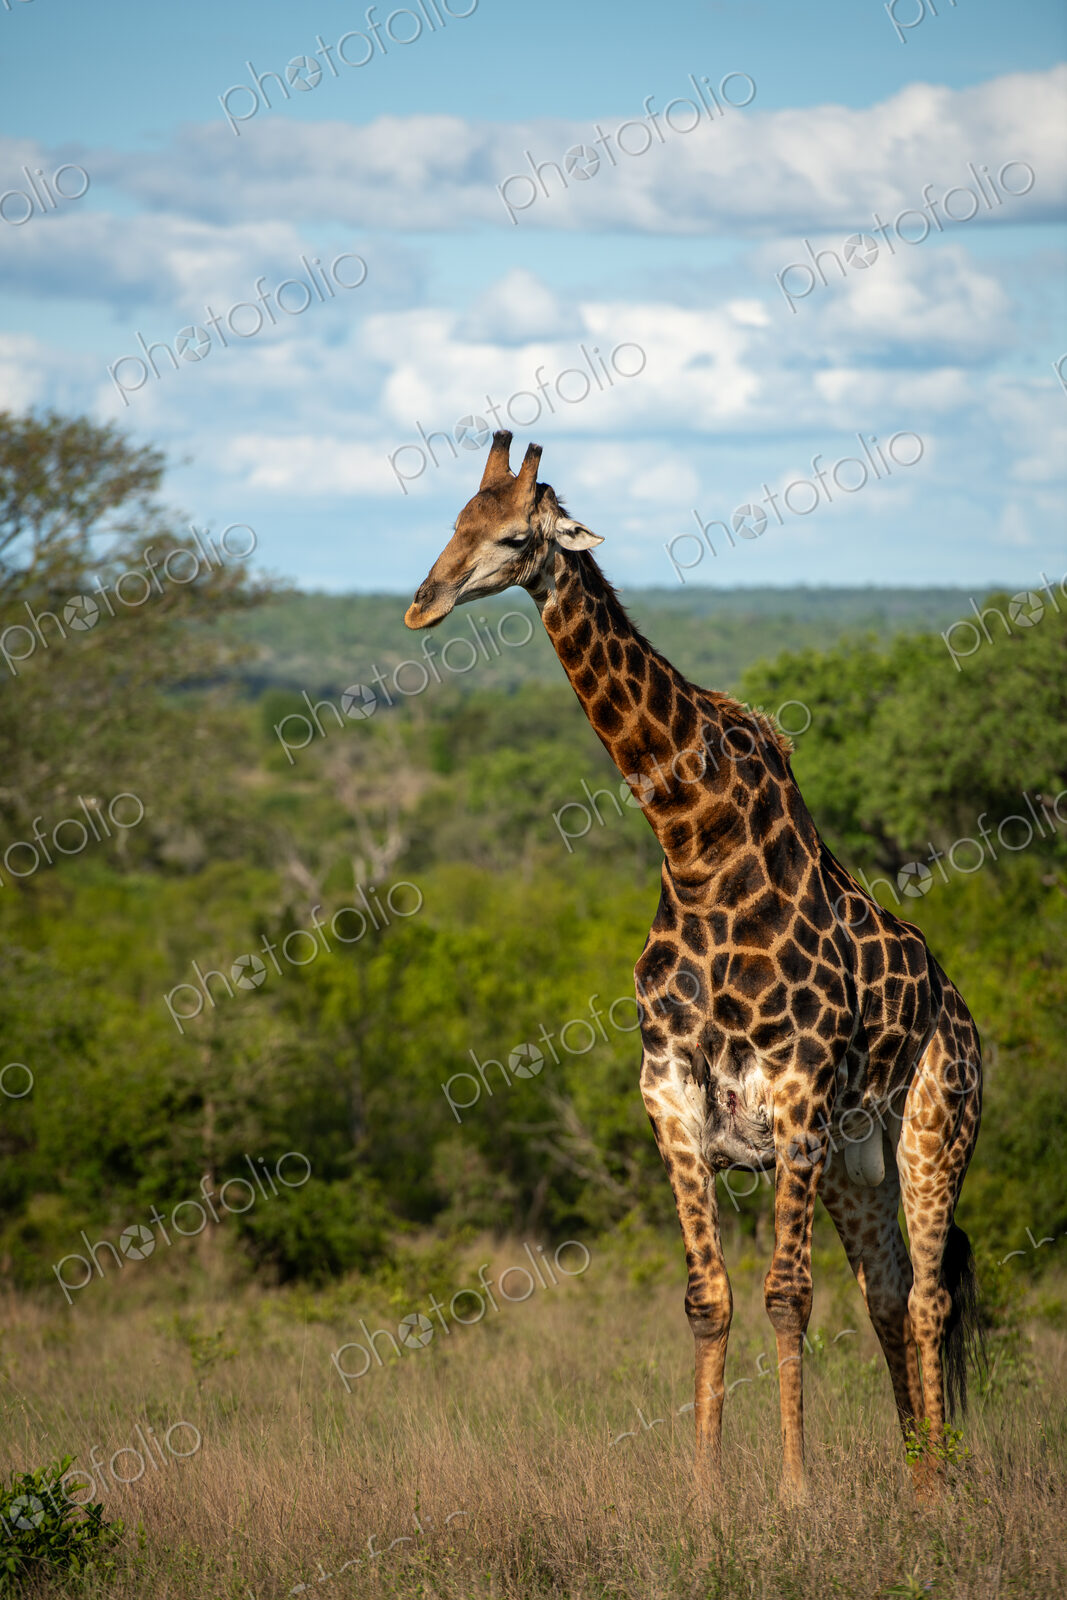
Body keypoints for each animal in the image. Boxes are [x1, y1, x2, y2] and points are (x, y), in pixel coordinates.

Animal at [404, 431, 984, 1496]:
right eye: (453, 521)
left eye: (512, 536)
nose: (423, 602)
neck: (692, 845)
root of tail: (960, 1012)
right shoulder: (670, 1094)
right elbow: (707, 1299)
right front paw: (708, 1491)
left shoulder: (796, 1093)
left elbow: (787, 1297)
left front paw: (794, 1494)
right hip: (856, 1162)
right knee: (886, 1292)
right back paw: (916, 1472)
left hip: (932, 1129)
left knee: (929, 1297)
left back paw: (938, 1487)